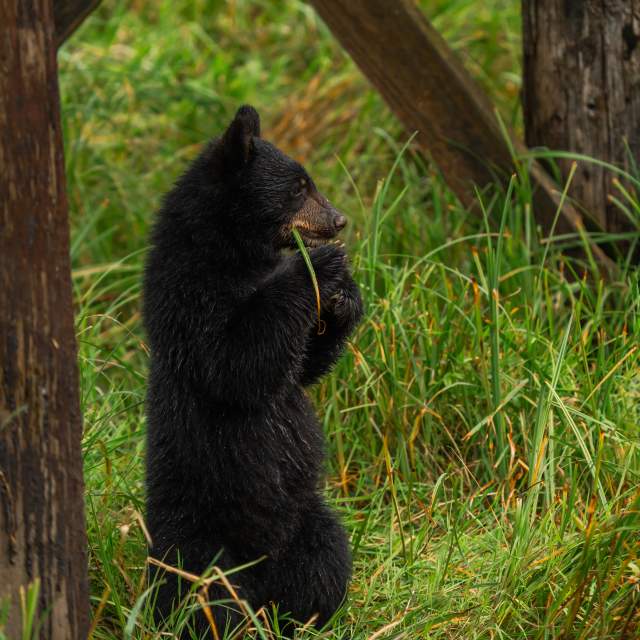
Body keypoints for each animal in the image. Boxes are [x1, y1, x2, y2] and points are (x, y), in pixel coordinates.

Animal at [142, 105, 363, 638]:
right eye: (299, 187)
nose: (338, 220)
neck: (230, 250)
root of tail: (260, 576)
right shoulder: (190, 292)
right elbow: (233, 361)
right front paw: (317, 266)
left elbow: (297, 371)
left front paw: (343, 298)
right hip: (196, 535)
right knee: (201, 591)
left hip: (309, 519)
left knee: (325, 560)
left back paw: (304, 617)